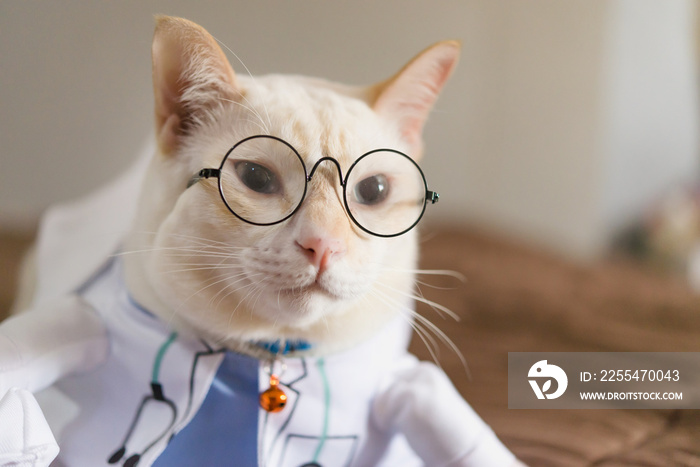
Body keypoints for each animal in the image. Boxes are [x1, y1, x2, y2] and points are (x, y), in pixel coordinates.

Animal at [0, 16, 520, 467]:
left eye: (373, 191)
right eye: (256, 177)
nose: (323, 245)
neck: (267, 364)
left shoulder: (405, 387)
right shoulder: (92, 320)